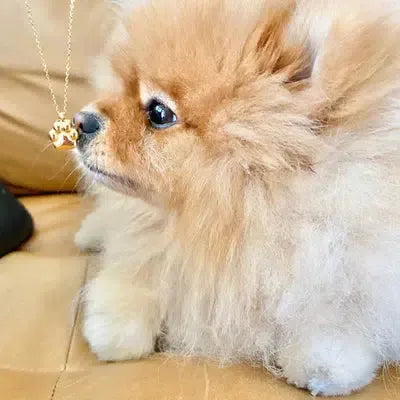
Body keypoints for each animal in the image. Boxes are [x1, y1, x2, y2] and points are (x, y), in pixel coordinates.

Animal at [73, 0, 400, 396]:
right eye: (121, 86)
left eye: (159, 113)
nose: (80, 121)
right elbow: (137, 275)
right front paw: (114, 326)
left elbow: (336, 317)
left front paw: (324, 363)